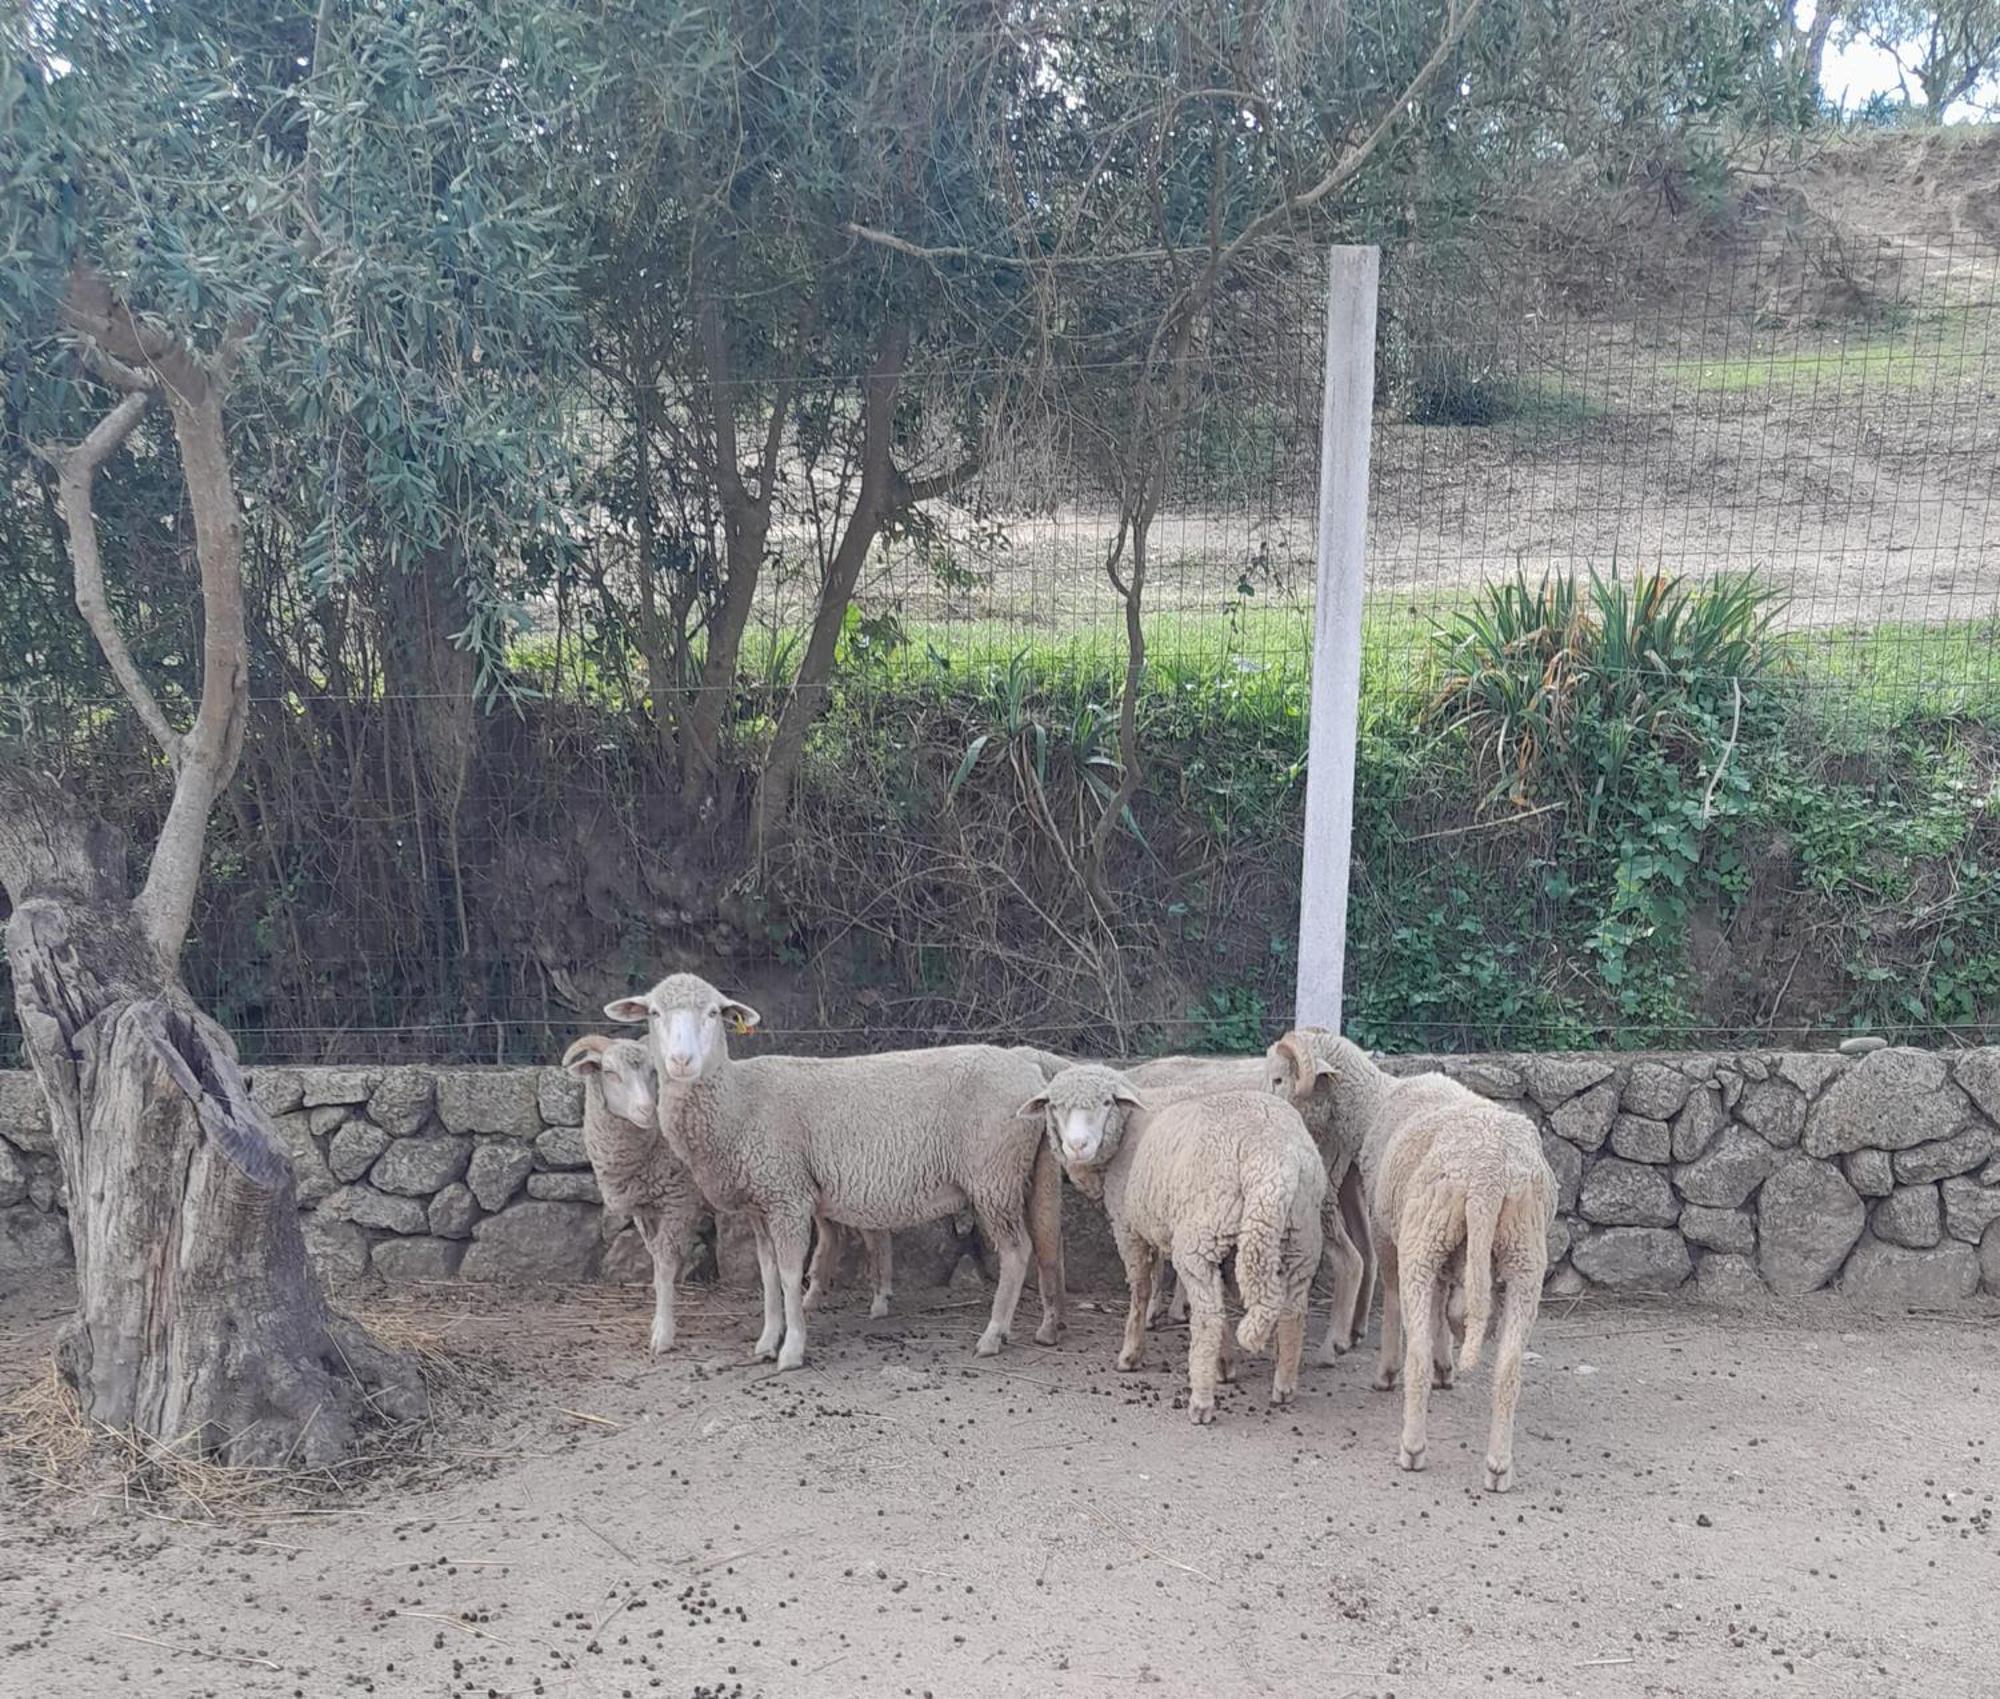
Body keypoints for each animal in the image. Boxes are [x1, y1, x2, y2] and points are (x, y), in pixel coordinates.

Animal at [564, 1023, 712, 1359]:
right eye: (609, 1072)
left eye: (653, 1072)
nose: (646, 1110)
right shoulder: (646, 1208)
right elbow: (656, 1262)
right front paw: (659, 1320)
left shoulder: (679, 1200)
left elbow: (666, 1265)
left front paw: (664, 1335)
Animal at [604, 967, 1064, 1367]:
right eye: (654, 1013)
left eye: (714, 1013)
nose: (681, 1061)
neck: (738, 1098)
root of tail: (1025, 1062)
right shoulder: (760, 1202)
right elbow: (768, 1274)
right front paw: (767, 1341)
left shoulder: (787, 1193)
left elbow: (791, 1275)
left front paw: (792, 1350)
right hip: (1024, 1171)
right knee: (1038, 1245)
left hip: (993, 1174)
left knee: (1015, 1251)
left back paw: (992, 1335)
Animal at [1016, 1071, 1328, 1415]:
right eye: (1054, 1105)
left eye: (1107, 1102)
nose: (1077, 1146)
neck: (1130, 1123)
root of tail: (1270, 1155)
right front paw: (1226, 1364)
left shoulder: (1129, 1228)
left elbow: (1141, 1289)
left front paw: (1131, 1354)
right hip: (1298, 1233)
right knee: (1293, 1309)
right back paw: (1284, 1384)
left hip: (1201, 1235)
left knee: (1208, 1315)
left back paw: (1201, 1401)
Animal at [1128, 1023, 1376, 1359]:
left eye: (1279, 1078)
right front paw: (1179, 1306)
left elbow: (1155, 1258)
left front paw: (1157, 1311)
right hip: (1347, 1178)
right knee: (1368, 1250)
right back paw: (1355, 1330)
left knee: (1351, 1258)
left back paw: (1332, 1344)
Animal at [1296, 1031, 1560, 1487]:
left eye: (1280, 1077)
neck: (1376, 1100)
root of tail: (1488, 1177)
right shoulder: (1450, 1253)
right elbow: (1445, 1303)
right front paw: (1447, 1362)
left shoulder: (1390, 1231)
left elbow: (1394, 1294)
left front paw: (1391, 1371)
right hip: (1520, 1253)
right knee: (1508, 1365)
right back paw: (1498, 1465)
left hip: (1426, 1240)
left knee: (1413, 1347)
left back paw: (1412, 1446)